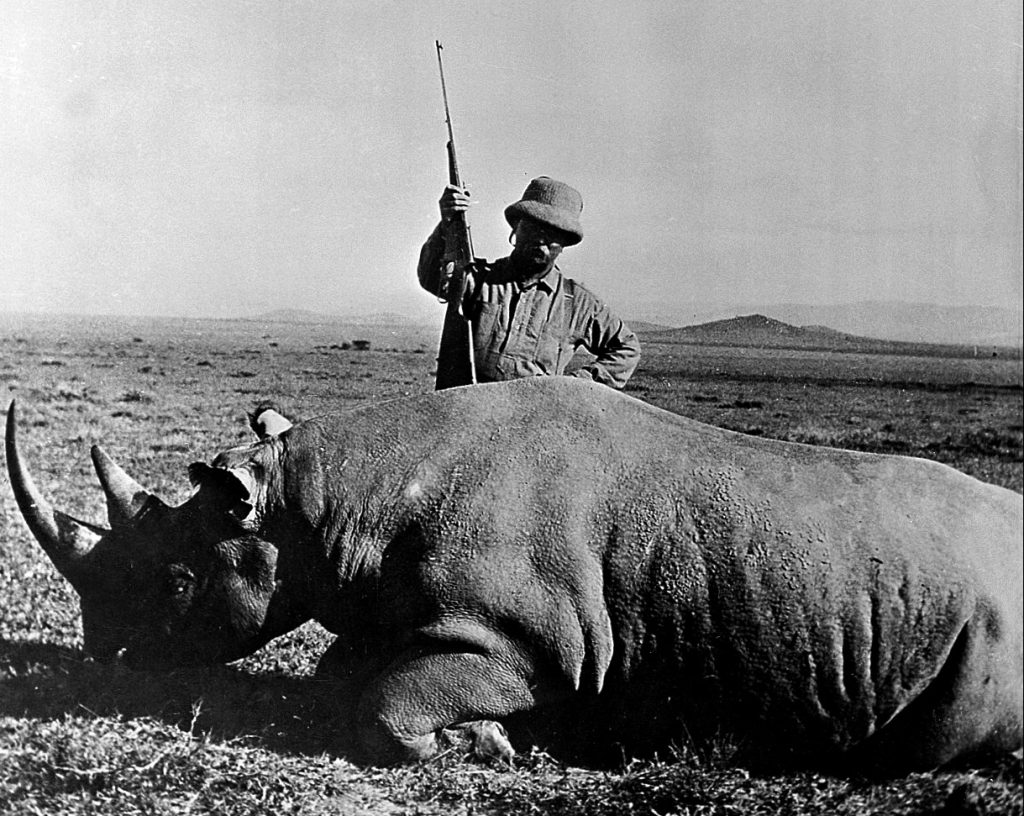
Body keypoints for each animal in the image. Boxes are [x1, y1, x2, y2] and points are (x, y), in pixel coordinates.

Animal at [5, 378, 1022, 773]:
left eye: (172, 584)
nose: (105, 659)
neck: (312, 503)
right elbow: (344, 676)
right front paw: (486, 738)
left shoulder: (532, 645)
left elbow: (382, 705)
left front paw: (489, 743)